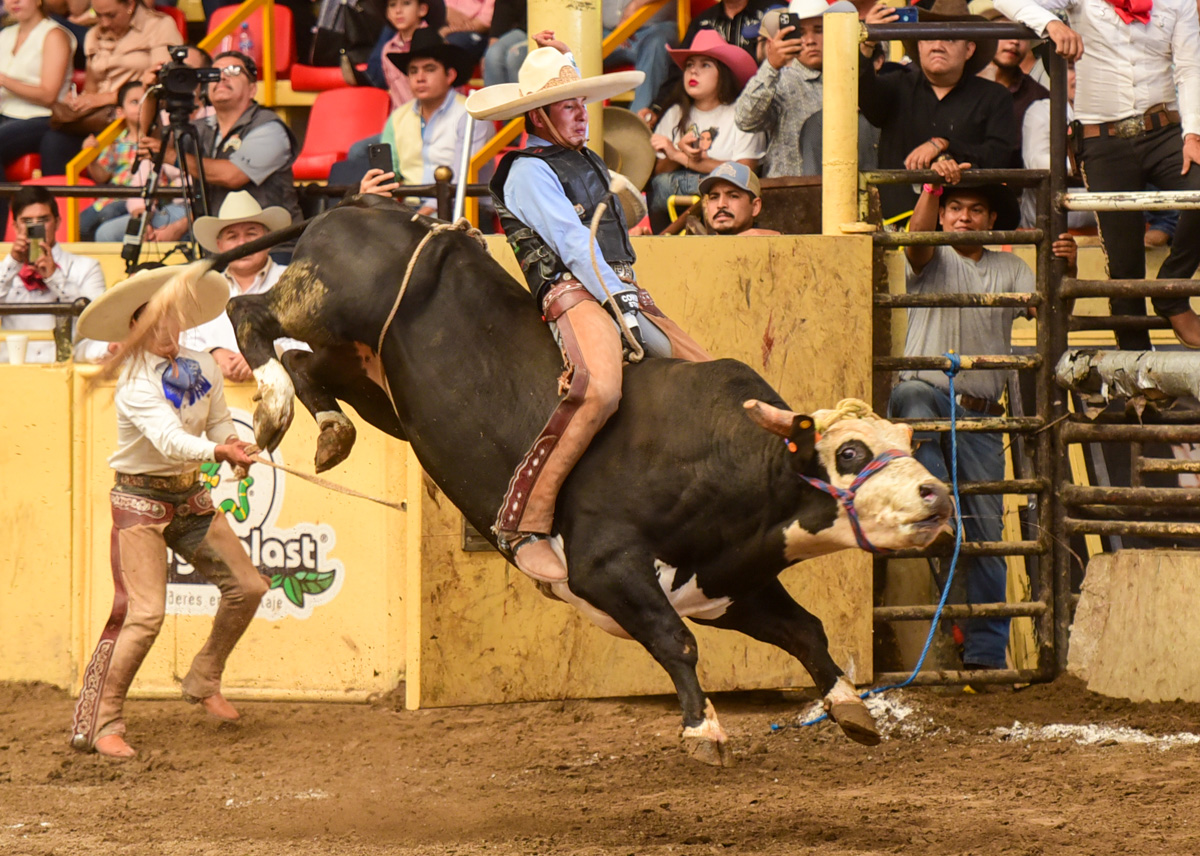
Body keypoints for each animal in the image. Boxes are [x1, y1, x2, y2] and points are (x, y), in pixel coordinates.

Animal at [184, 198, 955, 763]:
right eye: (849, 453)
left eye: (906, 443)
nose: (937, 495)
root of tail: (360, 206)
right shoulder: (606, 566)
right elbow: (676, 641)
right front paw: (703, 731)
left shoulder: (726, 583)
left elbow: (807, 631)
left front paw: (850, 707)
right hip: (324, 303)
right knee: (251, 314)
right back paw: (274, 405)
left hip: (372, 379)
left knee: (309, 367)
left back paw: (326, 429)